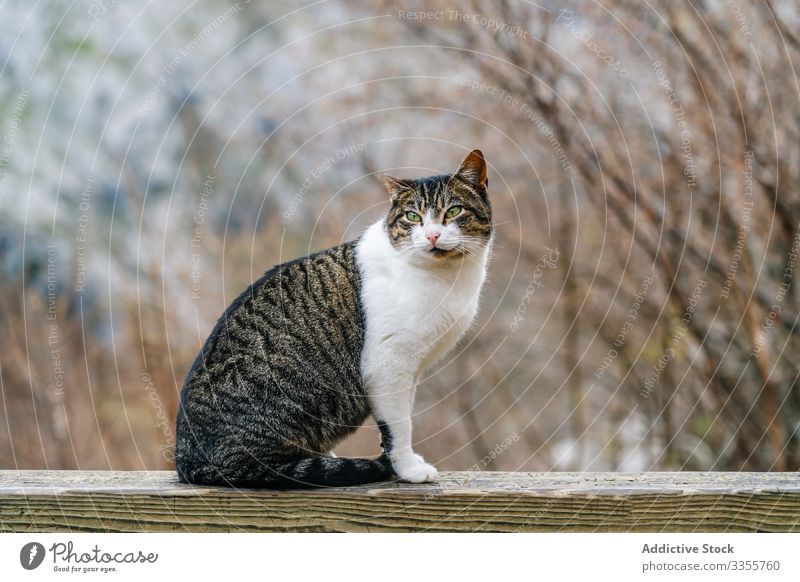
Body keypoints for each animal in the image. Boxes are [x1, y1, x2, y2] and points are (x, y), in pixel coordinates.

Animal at [177, 151, 494, 488]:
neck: (448, 278)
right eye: (413, 217)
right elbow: (399, 426)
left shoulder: (411, 370)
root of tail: (186, 460)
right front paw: (408, 468)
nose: (432, 235)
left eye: (453, 211)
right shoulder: (388, 365)